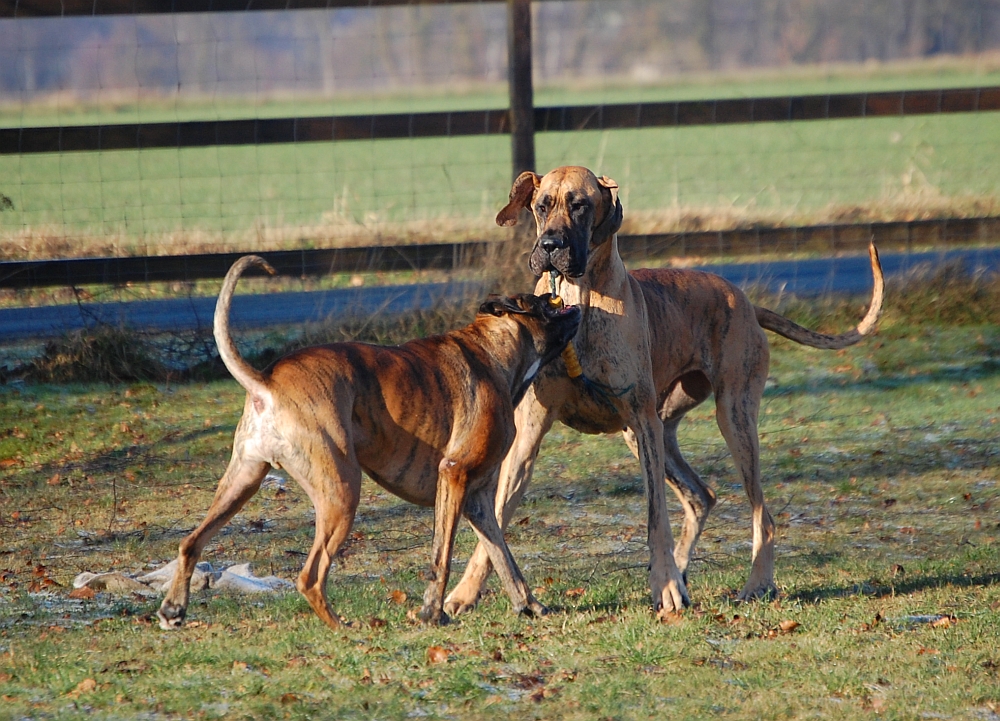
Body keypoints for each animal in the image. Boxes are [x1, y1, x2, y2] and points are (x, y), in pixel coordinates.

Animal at [157, 255, 582, 630]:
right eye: (546, 303)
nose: (562, 292)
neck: (494, 352)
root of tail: (267, 382)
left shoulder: (478, 501)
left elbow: (504, 559)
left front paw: (529, 606)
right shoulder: (454, 477)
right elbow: (440, 558)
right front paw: (432, 614)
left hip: (242, 482)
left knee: (191, 543)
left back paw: (173, 609)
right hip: (342, 492)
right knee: (310, 577)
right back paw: (344, 628)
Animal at [442, 166, 884, 617]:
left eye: (580, 205)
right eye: (541, 205)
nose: (550, 245)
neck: (580, 300)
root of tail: (745, 301)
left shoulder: (642, 421)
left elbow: (657, 520)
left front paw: (666, 586)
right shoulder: (530, 434)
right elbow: (494, 521)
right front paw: (463, 592)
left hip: (730, 418)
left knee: (762, 513)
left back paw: (754, 582)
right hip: (654, 428)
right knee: (701, 496)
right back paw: (687, 568)